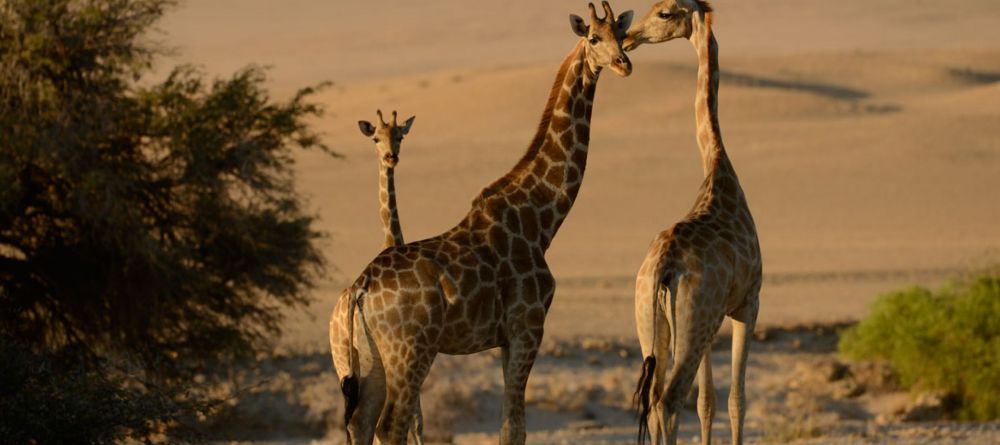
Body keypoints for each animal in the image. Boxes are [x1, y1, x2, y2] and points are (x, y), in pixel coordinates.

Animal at [328, 3, 633, 444]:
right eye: (594, 38)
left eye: (621, 35)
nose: (624, 64)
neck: (541, 219)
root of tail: (359, 290)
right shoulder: (527, 327)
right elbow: (514, 426)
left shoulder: (506, 337)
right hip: (410, 351)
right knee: (391, 425)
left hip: (367, 359)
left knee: (361, 423)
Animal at [625, 2, 761, 445]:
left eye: (664, 12)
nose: (629, 37)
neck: (717, 169)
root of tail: (665, 268)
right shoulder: (747, 302)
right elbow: (736, 400)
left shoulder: (714, 319)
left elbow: (708, 403)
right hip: (694, 321)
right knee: (669, 399)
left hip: (653, 325)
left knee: (654, 401)